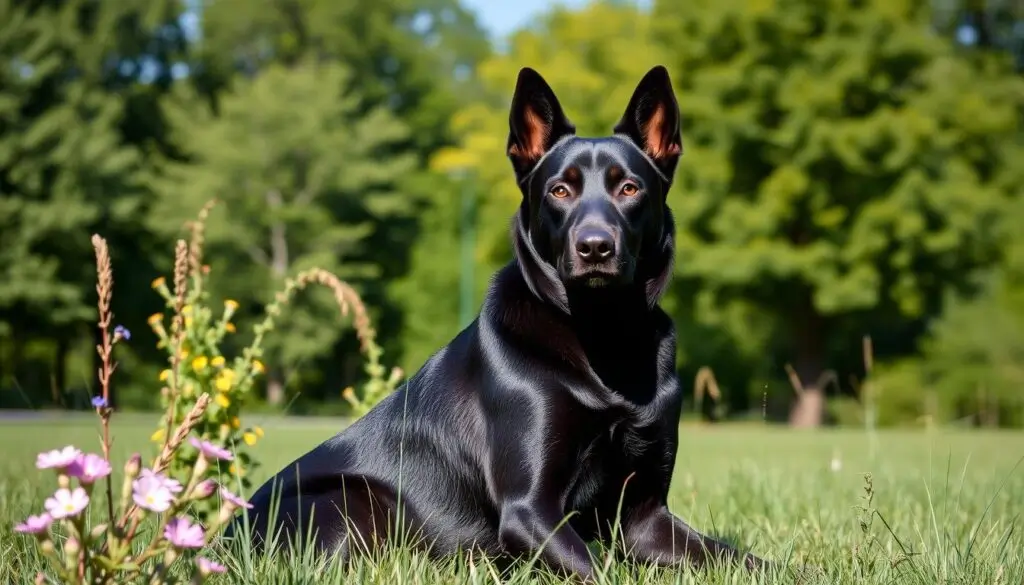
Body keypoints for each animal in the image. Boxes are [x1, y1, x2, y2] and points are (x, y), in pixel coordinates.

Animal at [237, 65, 770, 581]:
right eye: (559, 190)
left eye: (629, 188)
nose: (595, 247)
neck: (603, 334)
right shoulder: (528, 511)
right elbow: (602, 573)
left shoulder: (644, 517)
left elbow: (743, 560)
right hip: (347, 504)